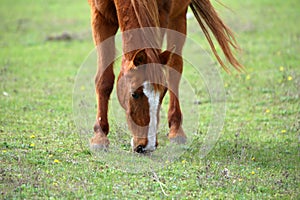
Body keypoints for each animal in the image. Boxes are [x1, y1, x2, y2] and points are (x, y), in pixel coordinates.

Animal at [88, 0, 243, 153]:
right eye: (134, 94)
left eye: (163, 93)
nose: (147, 146)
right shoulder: (100, 15)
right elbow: (104, 79)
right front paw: (99, 137)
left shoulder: (163, 12)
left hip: (178, 15)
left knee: (175, 69)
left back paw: (176, 130)